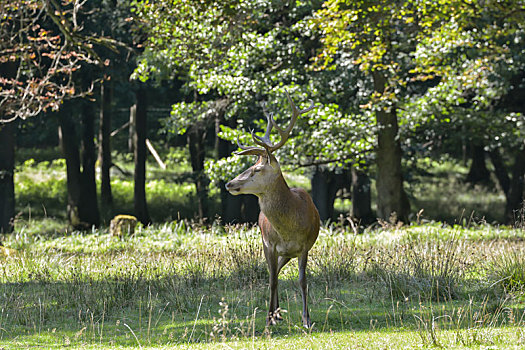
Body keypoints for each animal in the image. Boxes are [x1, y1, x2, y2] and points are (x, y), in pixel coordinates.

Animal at [225, 91, 320, 328]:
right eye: (250, 166)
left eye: (257, 169)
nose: (229, 184)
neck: (289, 229)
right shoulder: (270, 244)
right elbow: (272, 280)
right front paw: (268, 318)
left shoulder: (304, 246)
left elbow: (302, 280)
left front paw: (306, 319)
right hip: (269, 245)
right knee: (273, 273)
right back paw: (275, 314)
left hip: (288, 253)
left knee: (278, 270)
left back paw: (279, 313)